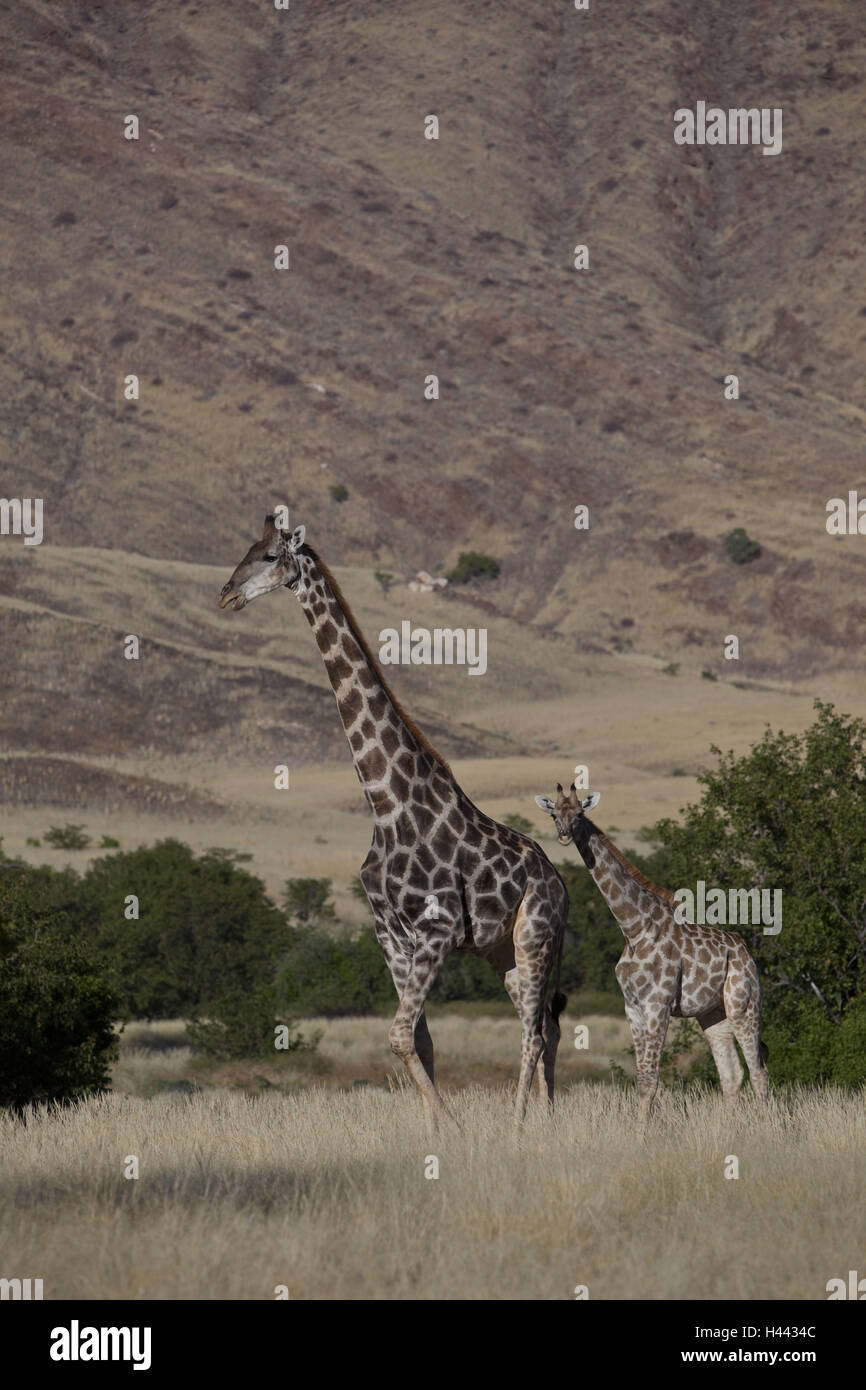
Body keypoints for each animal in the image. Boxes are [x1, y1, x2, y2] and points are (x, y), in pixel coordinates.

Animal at [216, 517, 572, 1134]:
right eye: (244, 551)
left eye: (267, 556)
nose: (226, 594)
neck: (386, 804)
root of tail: (563, 884)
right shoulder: (390, 932)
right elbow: (419, 1041)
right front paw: (434, 1133)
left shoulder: (438, 928)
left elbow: (400, 1036)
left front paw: (456, 1130)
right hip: (502, 951)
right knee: (545, 1028)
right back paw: (546, 1124)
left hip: (536, 935)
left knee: (531, 1033)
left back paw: (518, 1128)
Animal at [536, 783, 772, 1117]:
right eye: (555, 814)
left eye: (580, 813)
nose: (565, 835)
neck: (633, 927)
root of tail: (748, 956)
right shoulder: (632, 1007)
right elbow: (641, 1078)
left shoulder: (658, 1004)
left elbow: (651, 1080)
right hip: (713, 1013)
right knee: (732, 1074)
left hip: (744, 1005)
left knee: (758, 1071)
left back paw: (768, 1127)